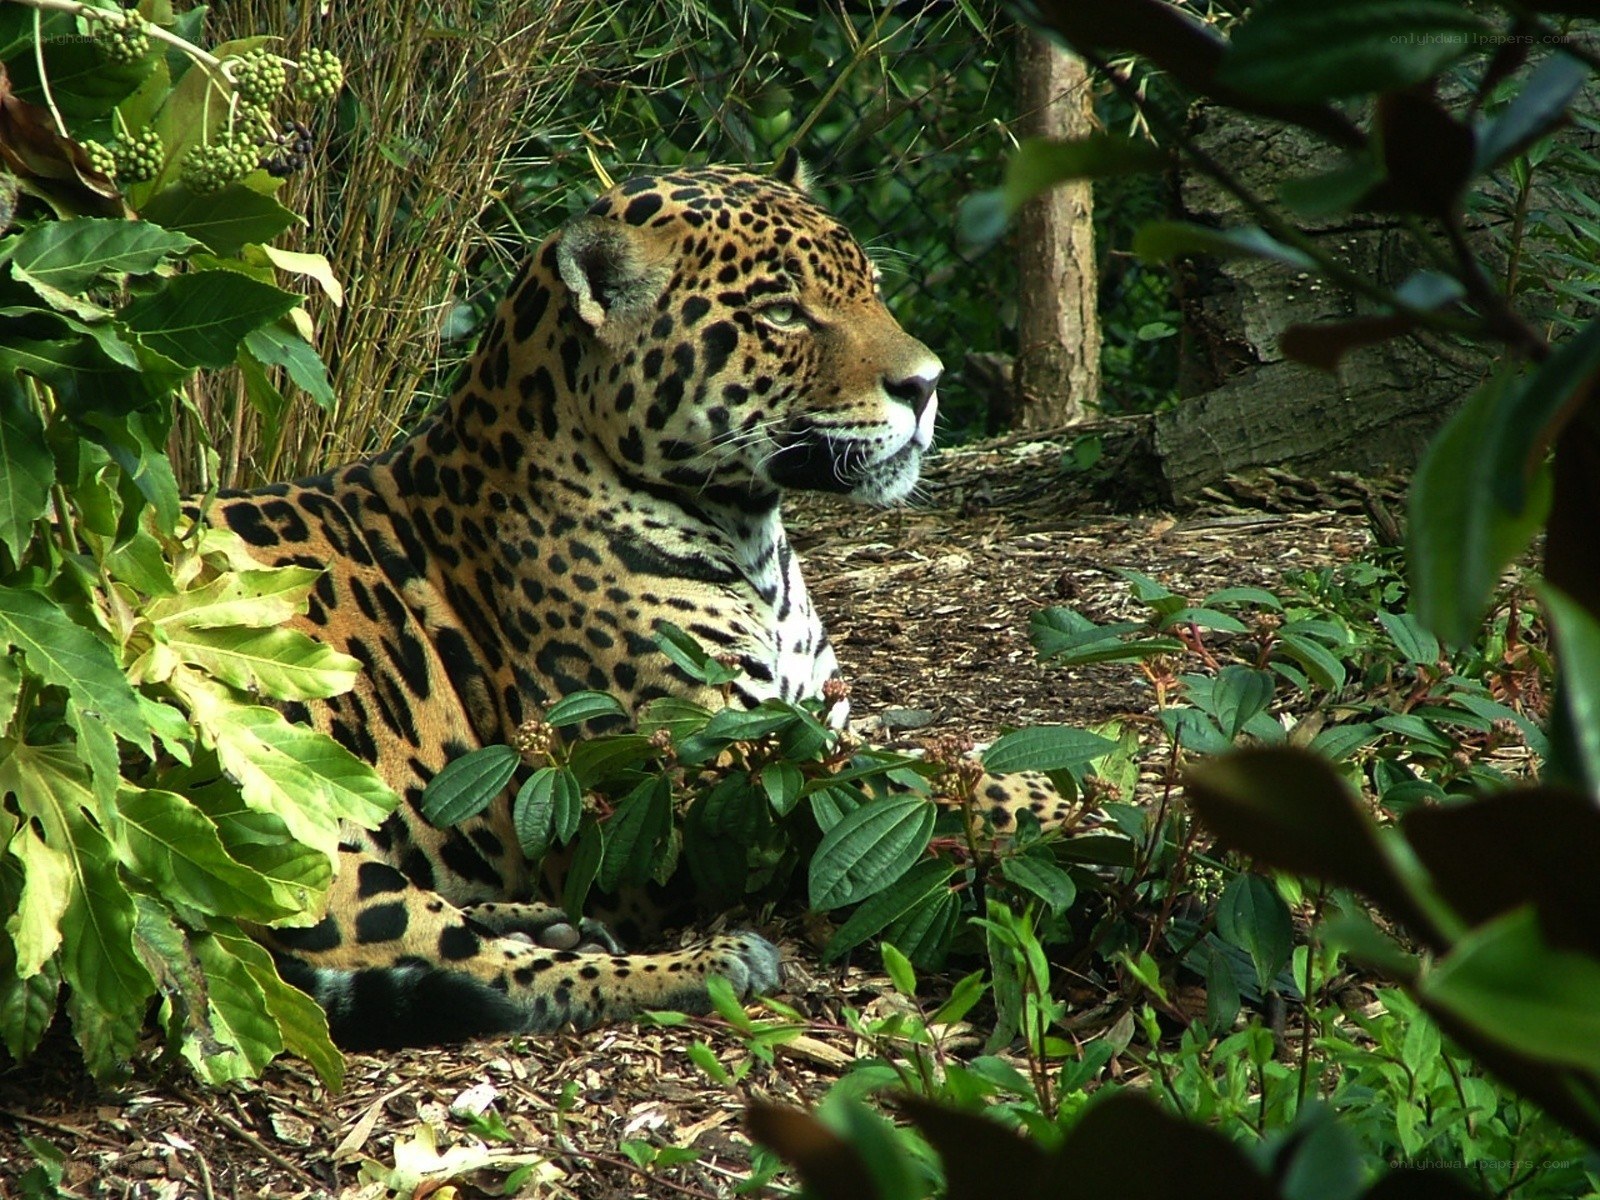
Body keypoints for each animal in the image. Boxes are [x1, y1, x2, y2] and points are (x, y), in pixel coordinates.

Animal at [204, 161, 1072, 1050]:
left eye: (871, 289)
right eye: (781, 313)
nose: (927, 385)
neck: (753, 537)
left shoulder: (809, 720)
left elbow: (925, 759)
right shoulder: (704, 780)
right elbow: (903, 787)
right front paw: (1059, 806)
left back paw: (549, 918)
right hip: (287, 818)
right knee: (482, 972)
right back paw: (704, 963)